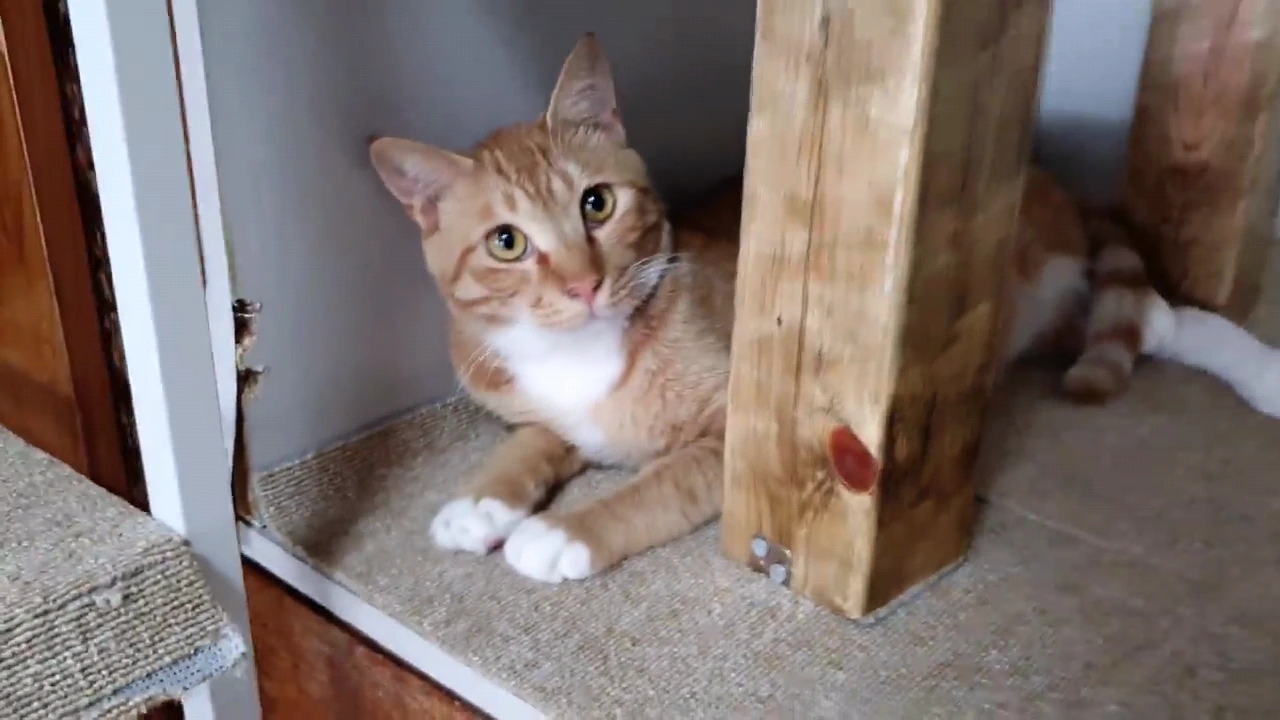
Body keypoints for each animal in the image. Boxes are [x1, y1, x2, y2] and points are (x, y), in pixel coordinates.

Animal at [369, 33, 1280, 584]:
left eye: (597, 204)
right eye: (507, 243)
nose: (584, 284)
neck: (581, 351)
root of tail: (1051, 178)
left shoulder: (739, 437)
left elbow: (652, 487)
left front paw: (565, 532)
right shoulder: (545, 412)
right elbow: (532, 443)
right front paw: (483, 499)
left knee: (1162, 318)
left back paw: (1264, 374)